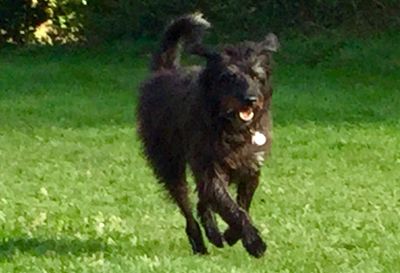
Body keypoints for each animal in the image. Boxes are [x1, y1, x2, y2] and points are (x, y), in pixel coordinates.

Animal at [137, 13, 278, 258]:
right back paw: (199, 242)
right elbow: (232, 208)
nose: (250, 99)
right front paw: (254, 242)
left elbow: (241, 205)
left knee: (202, 203)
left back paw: (213, 233)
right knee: (187, 206)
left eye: (256, 76)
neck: (231, 127)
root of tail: (163, 71)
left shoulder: (250, 168)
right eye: (230, 77)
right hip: (169, 164)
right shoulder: (210, 170)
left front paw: (233, 235)